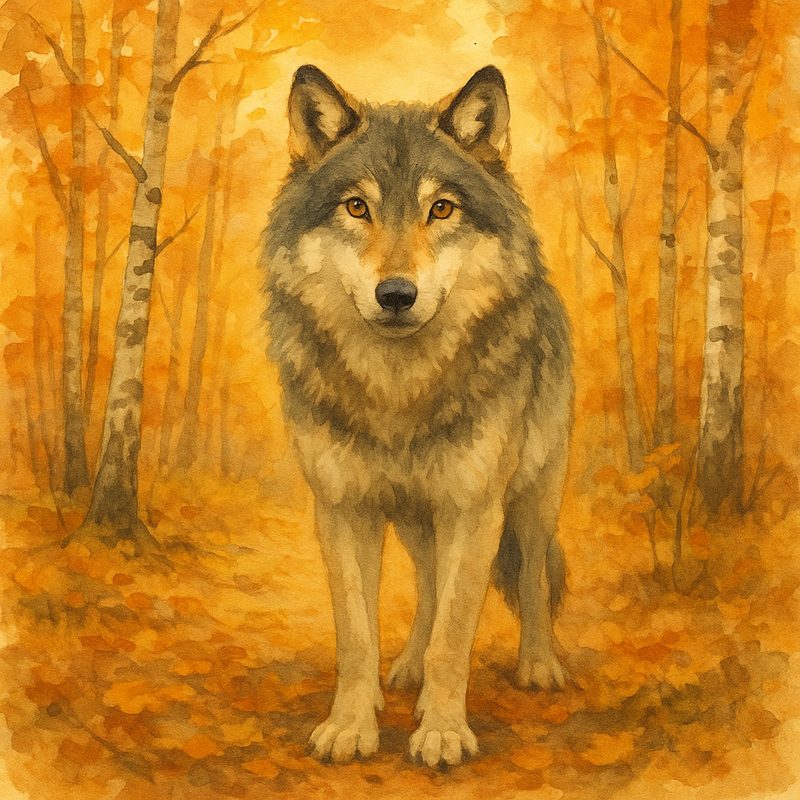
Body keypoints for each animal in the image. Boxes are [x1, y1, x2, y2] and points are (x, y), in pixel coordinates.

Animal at [262, 64, 573, 768]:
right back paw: (405, 671)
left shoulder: (474, 508)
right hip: (413, 517)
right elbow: (358, 634)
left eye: (442, 208)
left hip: (533, 497)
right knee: (430, 585)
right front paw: (351, 725)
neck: (397, 394)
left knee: (533, 577)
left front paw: (443, 732)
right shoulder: (343, 509)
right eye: (357, 207)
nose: (397, 294)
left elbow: (456, 633)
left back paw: (538, 666)